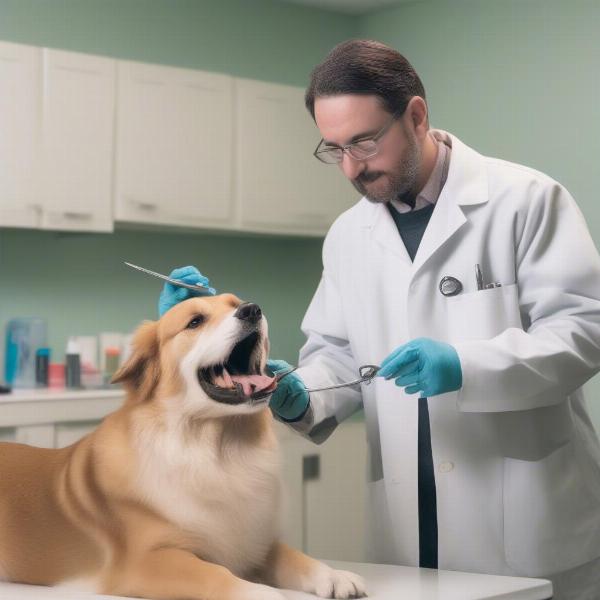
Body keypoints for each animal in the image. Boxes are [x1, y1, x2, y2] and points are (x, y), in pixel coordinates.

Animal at [0, 296, 366, 600]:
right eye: (195, 322)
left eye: (235, 303)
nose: (251, 310)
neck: (217, 448)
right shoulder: (144, 563)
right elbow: (217, 575)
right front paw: (268, 595)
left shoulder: (252, 543)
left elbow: (294, 556)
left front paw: (334, 575)